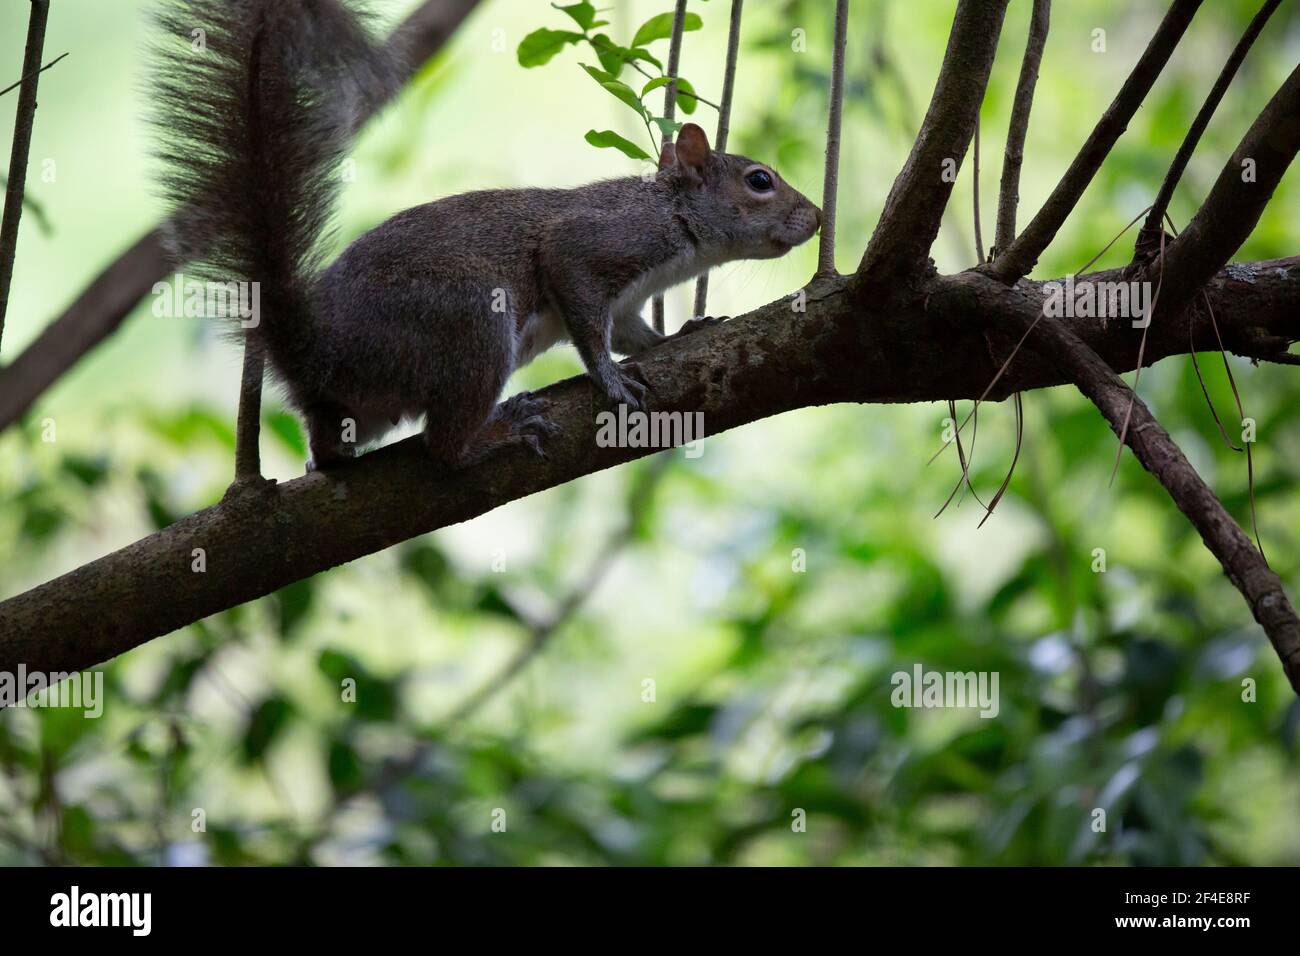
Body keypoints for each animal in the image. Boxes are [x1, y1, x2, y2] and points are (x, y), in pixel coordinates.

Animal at [151, 0, 822, 471]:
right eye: (759, 181)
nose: (816, 219)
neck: (673, 219)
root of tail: (318, 350)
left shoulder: (628, 299)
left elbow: (636, 334)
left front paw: (681, 332)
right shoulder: (592, 245)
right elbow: (587, 324)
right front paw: (610, 379)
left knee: (332, 451)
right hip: (467, 321)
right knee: (442, 447)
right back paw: (500, 433)